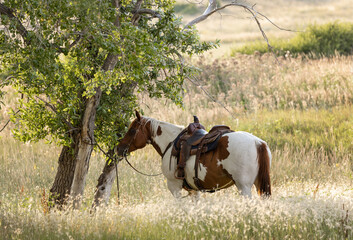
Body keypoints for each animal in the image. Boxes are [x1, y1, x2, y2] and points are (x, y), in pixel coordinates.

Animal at [117, 111, 270, 200]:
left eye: (132, 131)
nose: (119, 148)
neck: (170, 142)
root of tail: (258, 142)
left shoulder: (174, 186)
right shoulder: (193, 190)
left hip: (244, 186)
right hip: (258, 184)